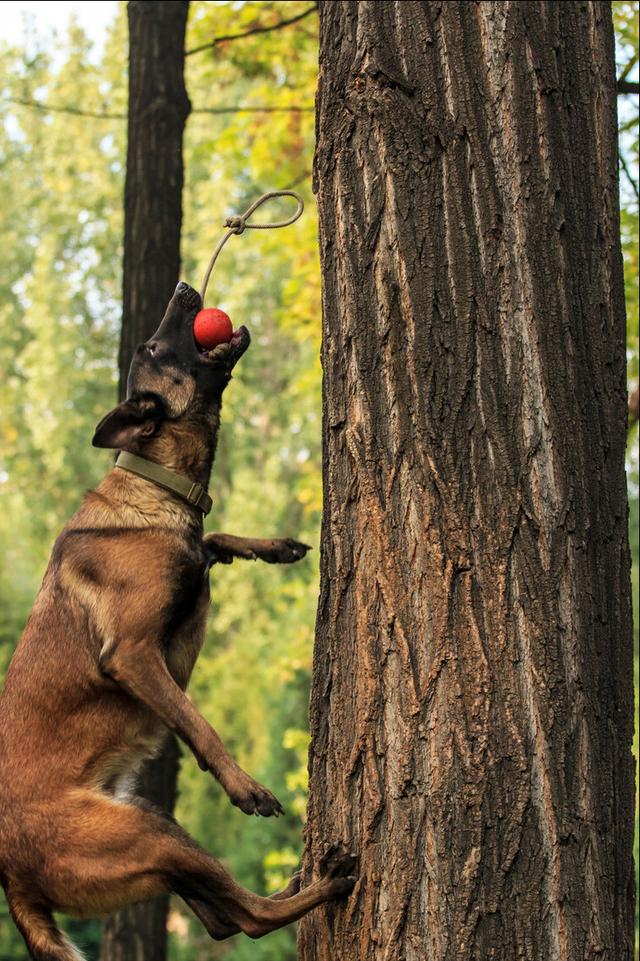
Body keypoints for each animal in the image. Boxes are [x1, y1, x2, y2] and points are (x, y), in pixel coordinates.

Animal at [0, 284, 356, 960]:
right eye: (154, 347)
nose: (187, 290)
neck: (158, 487)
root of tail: (10, 877)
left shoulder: (190, 560)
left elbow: (211, 540)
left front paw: (270, 546)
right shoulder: (134, 654)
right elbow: (198, 724)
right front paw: (243, 786)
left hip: (155, 828)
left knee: (224, 917)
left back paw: (301, 878)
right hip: (142, 833)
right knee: (248, 919)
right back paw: (327, 883)